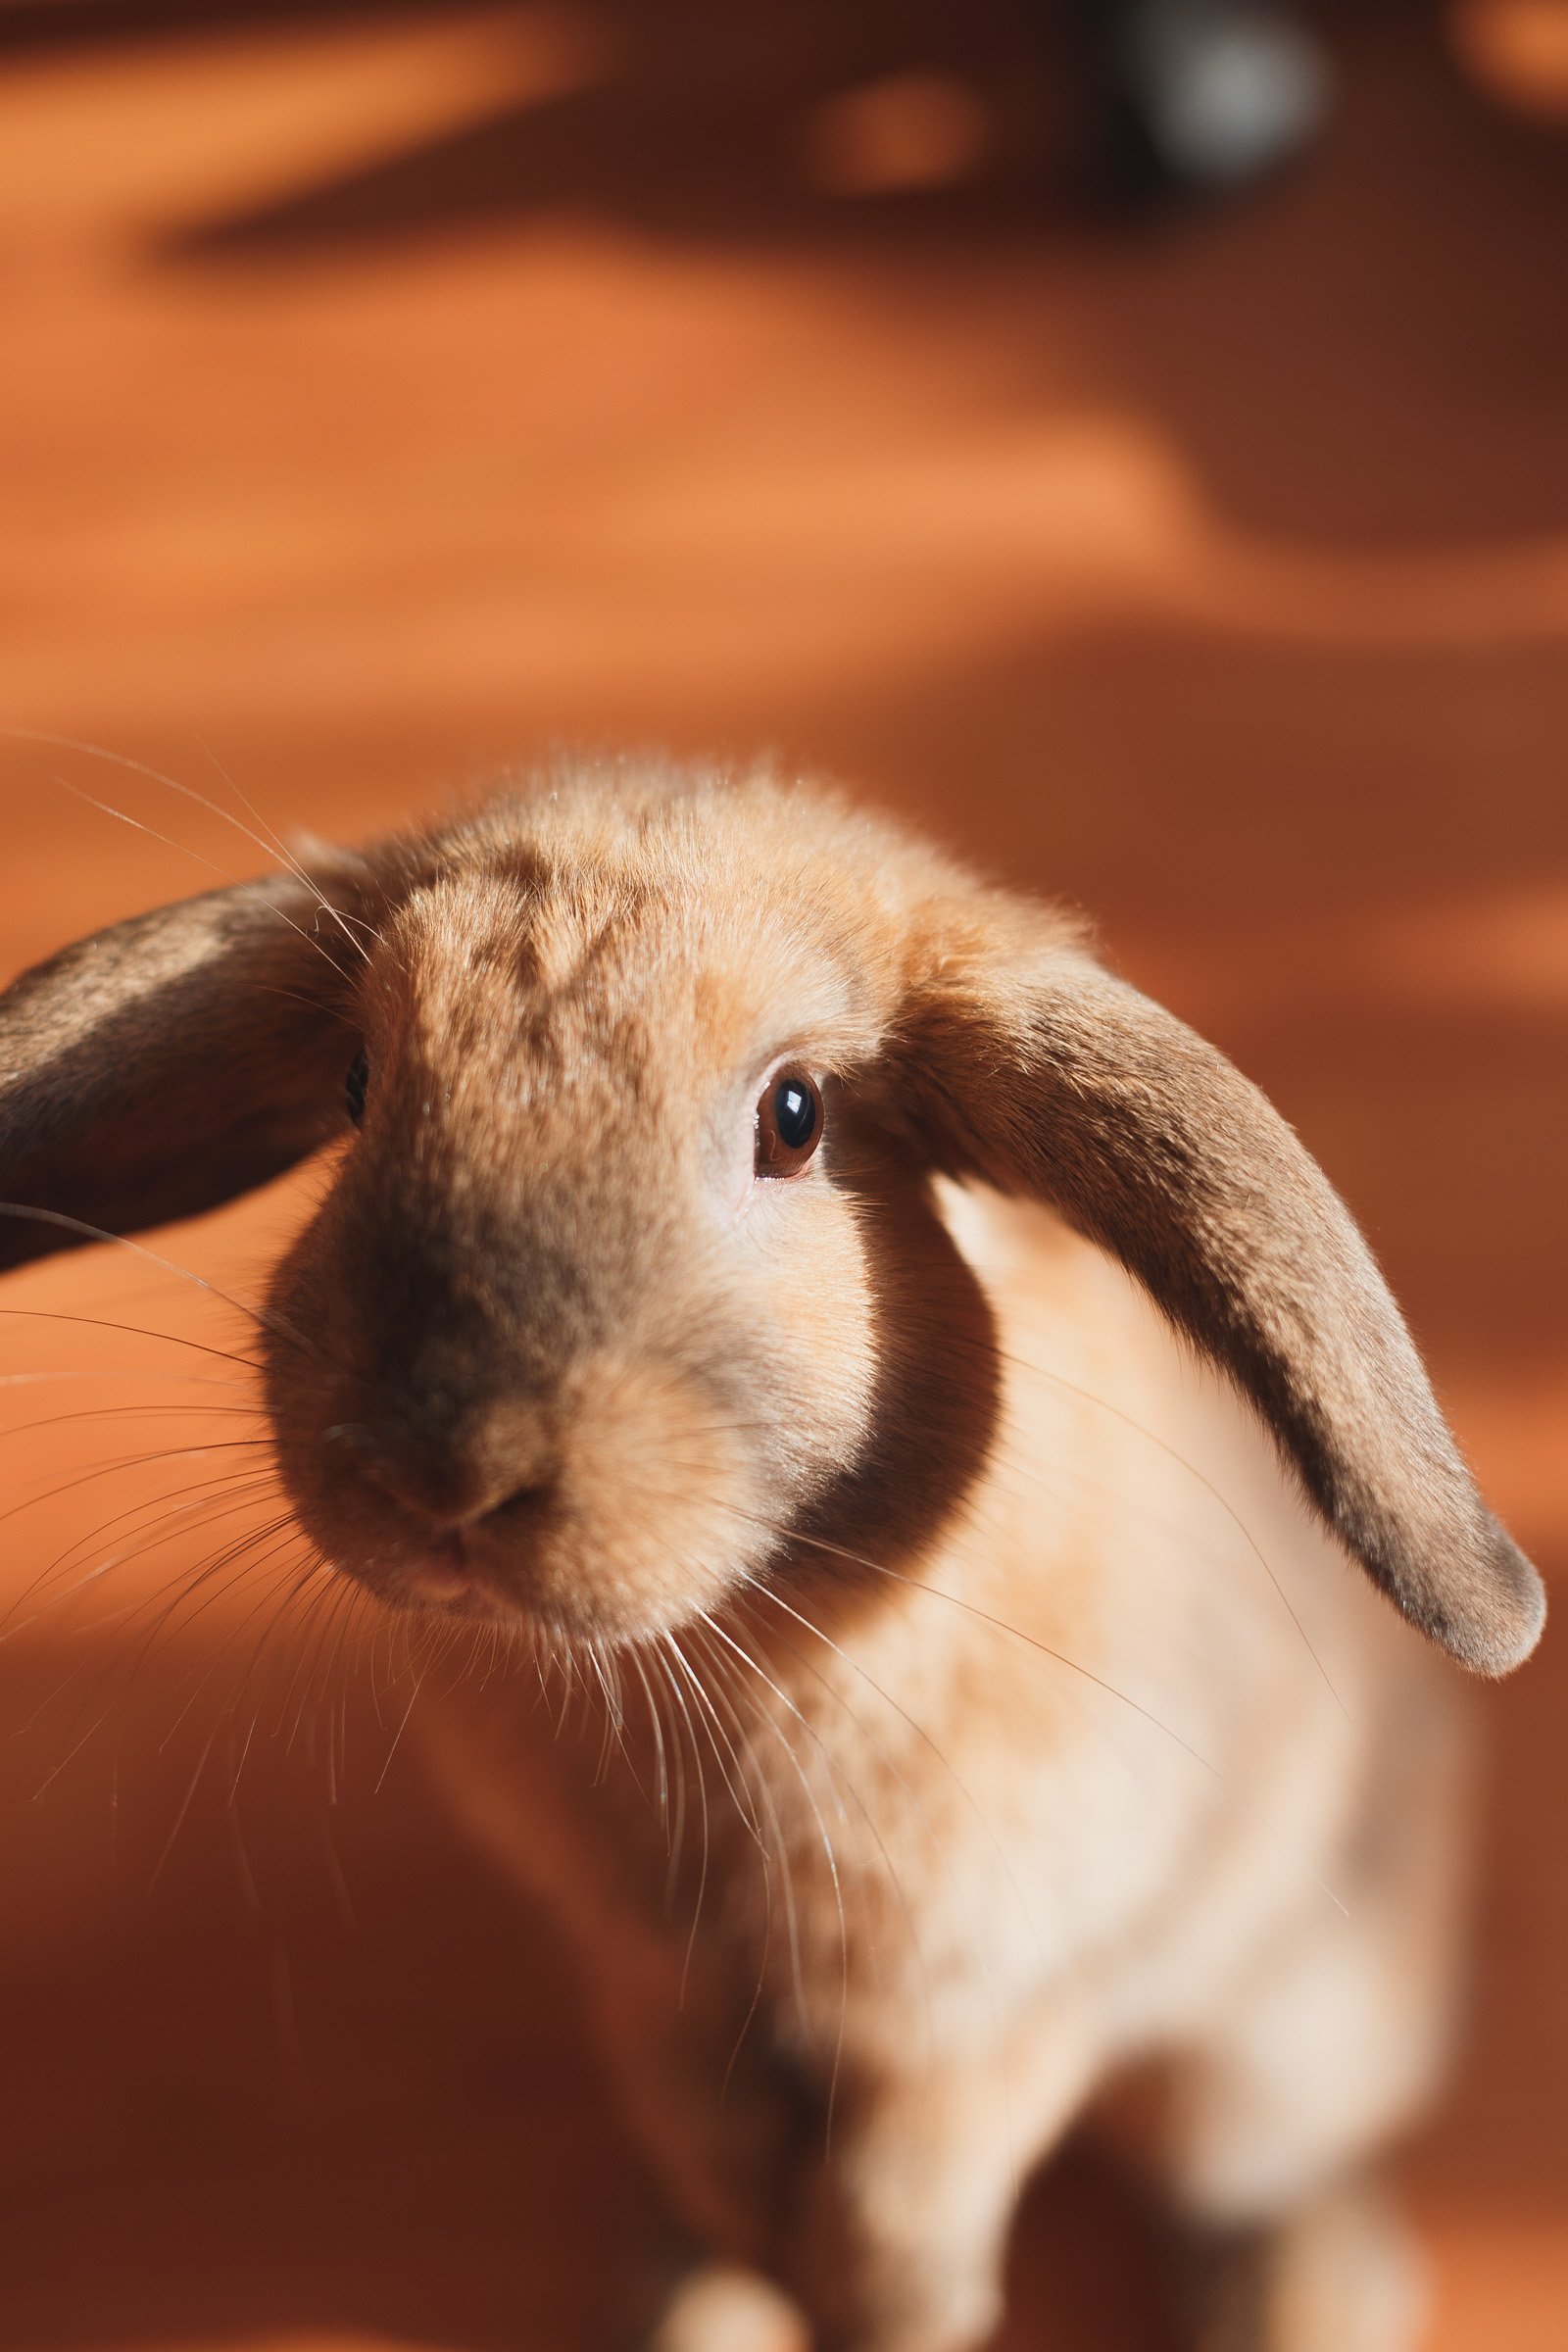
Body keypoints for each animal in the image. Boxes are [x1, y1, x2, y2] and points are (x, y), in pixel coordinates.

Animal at [0, 759, 1545, 2352]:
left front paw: (897, 2309)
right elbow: (706, 2125)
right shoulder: (647, 1982)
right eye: (360, 1089)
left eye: (796, 1118)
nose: (446, 1472)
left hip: (1274, 2046)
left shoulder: (1017, 1991)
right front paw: (767, 2253)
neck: (726, 1655)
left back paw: (1301, 2299)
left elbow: (919, 2174)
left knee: (1259, 2171)